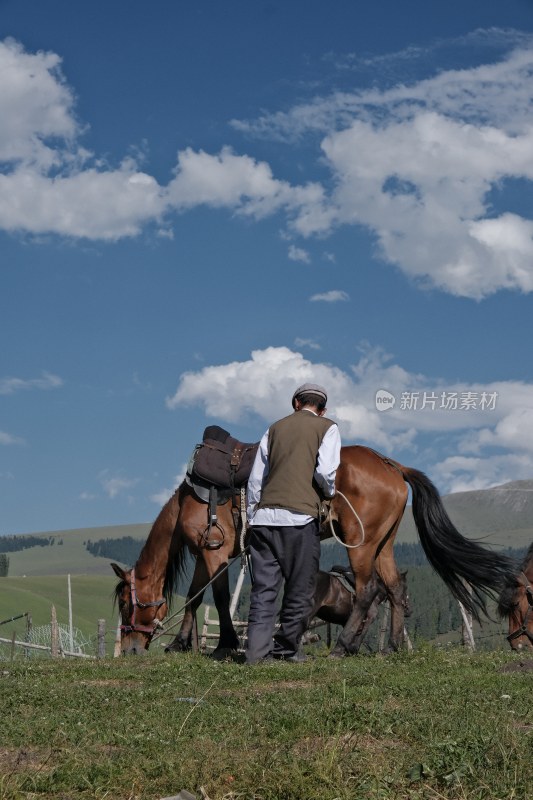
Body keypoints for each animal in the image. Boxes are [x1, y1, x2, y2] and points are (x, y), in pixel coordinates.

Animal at [111, 444, 516, 656]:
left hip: (361, 543)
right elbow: (196, 597)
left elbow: (218, 598)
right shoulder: (204, 554)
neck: (189, 501)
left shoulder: (216, 552)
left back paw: (344, 646)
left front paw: (224, 645)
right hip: (384, 544)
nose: (129, 647)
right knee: (394, 588)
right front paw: (181, 644)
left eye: (126, 603)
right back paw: (392, 648)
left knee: (369, 590)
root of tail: (391, 465)